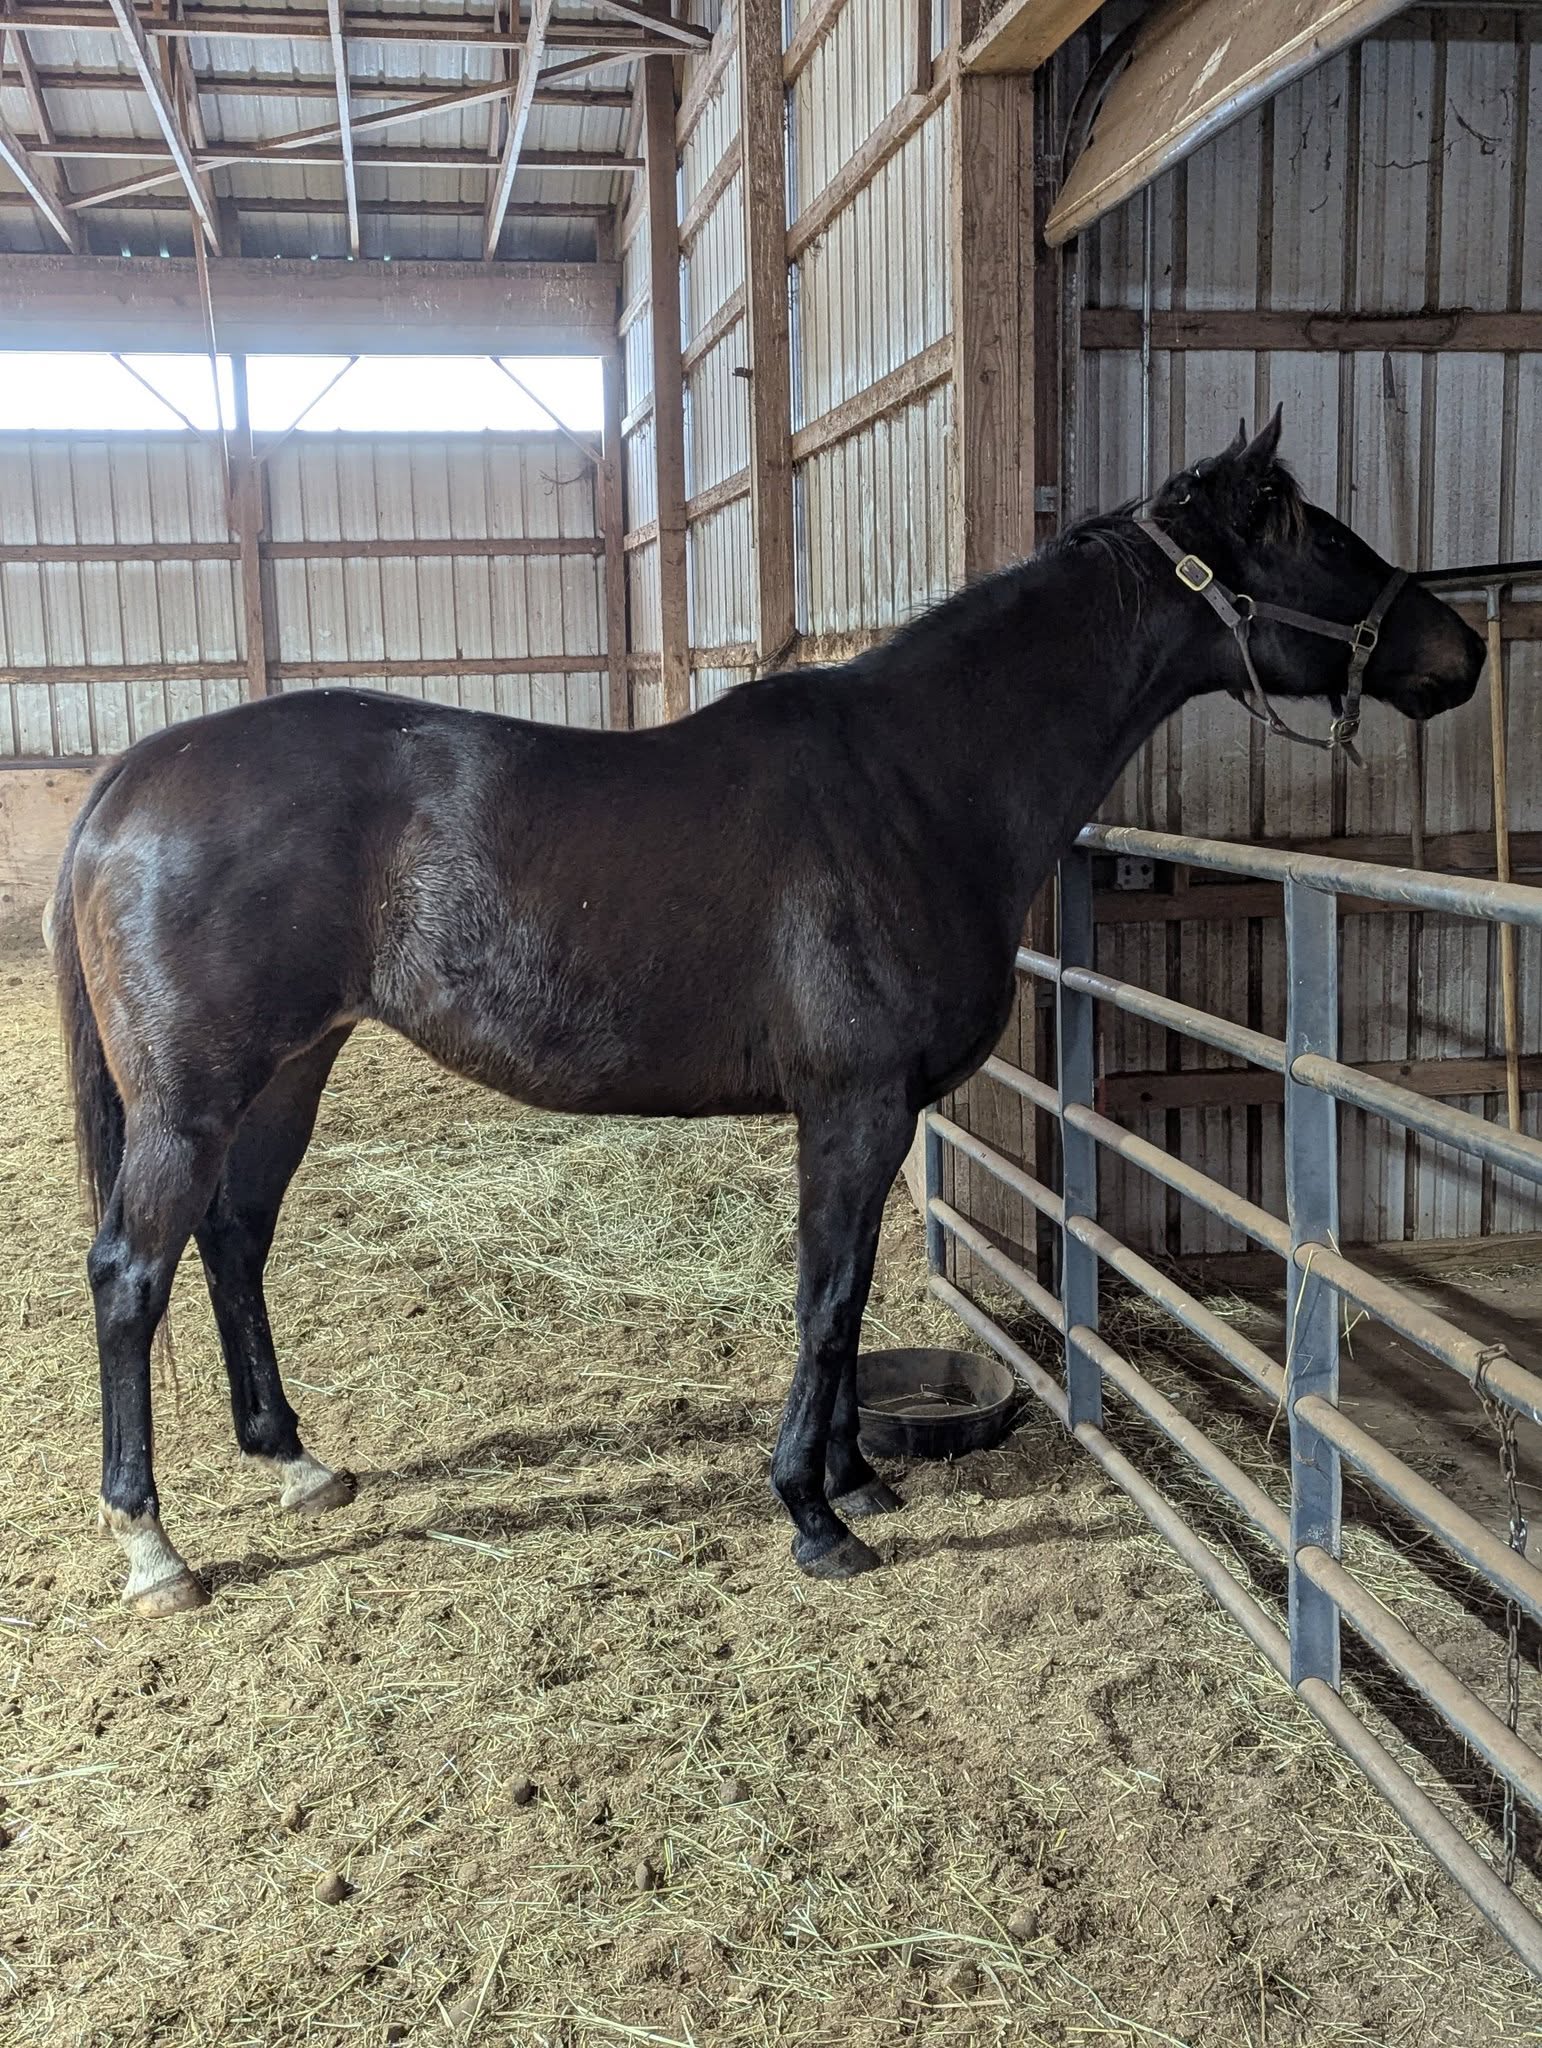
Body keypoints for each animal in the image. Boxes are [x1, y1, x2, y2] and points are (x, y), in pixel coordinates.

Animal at [52, 414, 1483, 1618]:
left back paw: (295, 1460)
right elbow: (827, 1291)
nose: (1461, 651)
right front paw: (814, 1511)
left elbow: (846, 1296)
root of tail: (131, 779)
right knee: (131, 1271)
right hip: (192, 1097)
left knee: (237, 1238)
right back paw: (154, 1545)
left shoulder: (877, 1114)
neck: (918, 783)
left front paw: (856, 1474)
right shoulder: (852, 1105)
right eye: (1321, 538)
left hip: (292, 1067)